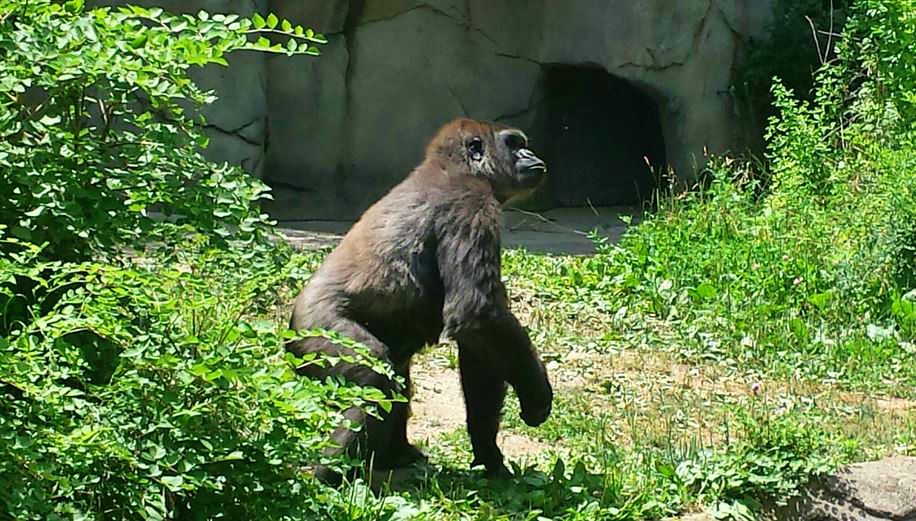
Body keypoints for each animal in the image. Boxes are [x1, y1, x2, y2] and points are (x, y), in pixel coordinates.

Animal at [286, 118, 553, 484]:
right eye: (513, 144)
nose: (531, 154)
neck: (458, 166)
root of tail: (287, 329)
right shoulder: (471, 203)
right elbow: (477, 313)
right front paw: (536, 395)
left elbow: (479, 346)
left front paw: (487, 452)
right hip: (314, 333)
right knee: (377, 377)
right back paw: (330, 472)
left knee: (396, 374)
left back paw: (394, 454)